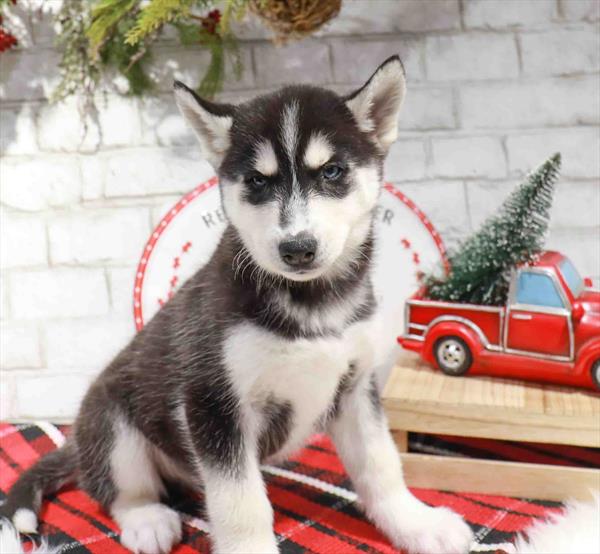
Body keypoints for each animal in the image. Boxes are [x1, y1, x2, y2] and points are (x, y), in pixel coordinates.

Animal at [2, 56, 476, 552]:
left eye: (331, 172)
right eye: (256, 181)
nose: (297, 249)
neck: (312, 303)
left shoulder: (355, 388)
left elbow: (382, 467)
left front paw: (416, 523)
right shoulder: (213, 403)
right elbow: (241, 501)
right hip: (114, 425)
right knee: (121, 491)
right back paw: (147, 519)